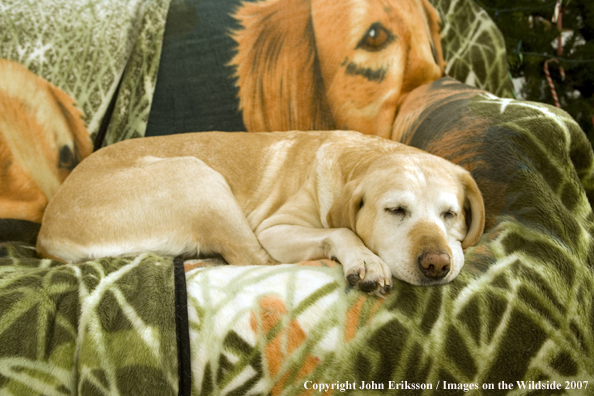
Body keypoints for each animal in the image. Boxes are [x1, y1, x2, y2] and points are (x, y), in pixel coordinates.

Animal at [35, 131, 480, 292]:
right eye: (395, 210)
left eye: (450, 215)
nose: (437, 264)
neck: (361, 157)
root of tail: (44, 236)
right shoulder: (274, 229)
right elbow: (342, 231)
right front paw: (365, 260)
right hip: (198, 176)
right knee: (252, 259)